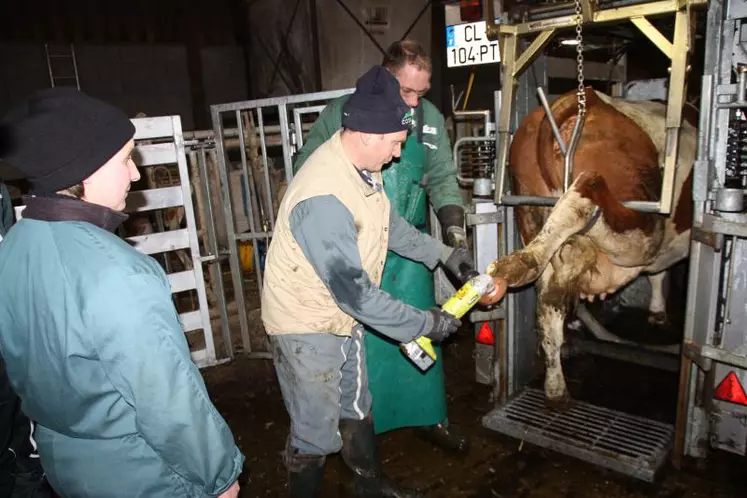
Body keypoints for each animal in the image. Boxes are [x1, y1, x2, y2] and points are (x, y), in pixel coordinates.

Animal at [488, 87, 700, 406]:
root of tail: (579, 98)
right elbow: (659, 273)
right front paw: (658, 310)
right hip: (644, 224)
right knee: (585, 194)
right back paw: (524, 263)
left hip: (529, 212)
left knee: (548, 302)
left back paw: (556, 387)